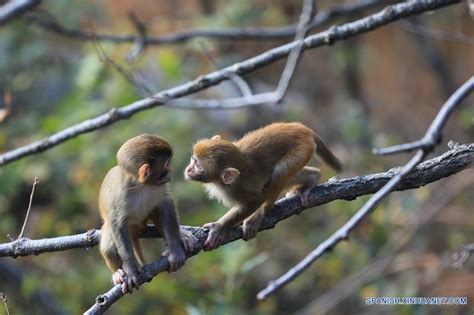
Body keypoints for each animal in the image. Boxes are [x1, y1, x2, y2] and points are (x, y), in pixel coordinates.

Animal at [99, 135, 195, 296]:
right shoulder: (121, 194)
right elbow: (117, 222)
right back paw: (117, 273)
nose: (171, 170)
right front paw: (130, 269)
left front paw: (175, 250)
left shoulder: (159, 186)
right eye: (166, 164)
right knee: (109, 247)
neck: (142, 185)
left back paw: (181, 237)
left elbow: (165, 205)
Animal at [183, 122, 342, 251]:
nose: (189, 170)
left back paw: (260, 213)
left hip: (303, 149)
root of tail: (302, 128)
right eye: (193, 160)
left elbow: (256, 200)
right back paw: (313, 177)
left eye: (198, 165)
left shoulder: (240, 188)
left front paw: (220, 227)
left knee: (280, 171)